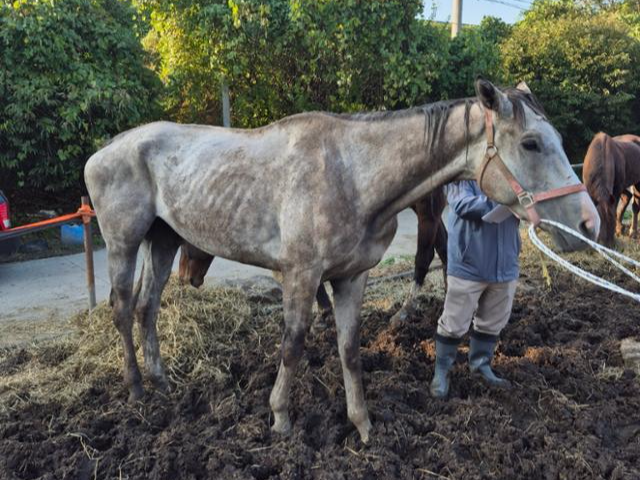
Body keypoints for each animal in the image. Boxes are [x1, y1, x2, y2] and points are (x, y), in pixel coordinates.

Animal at [179, 189, 450, 324]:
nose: (184, 278)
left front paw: (325, 312)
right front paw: (325, 311)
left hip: (427, 209)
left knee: (424, 257)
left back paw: (405, 311)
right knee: (444, 247)